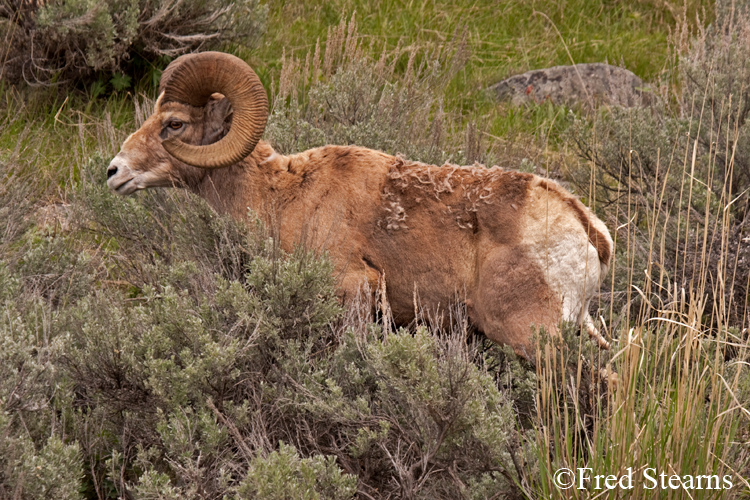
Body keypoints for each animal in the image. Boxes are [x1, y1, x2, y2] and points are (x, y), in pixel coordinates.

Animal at [110, 51, 616, 360]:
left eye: (174, 124)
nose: (114, 172)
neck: (283, 196)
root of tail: (585, 227)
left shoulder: (355, 291)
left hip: (531, 336)